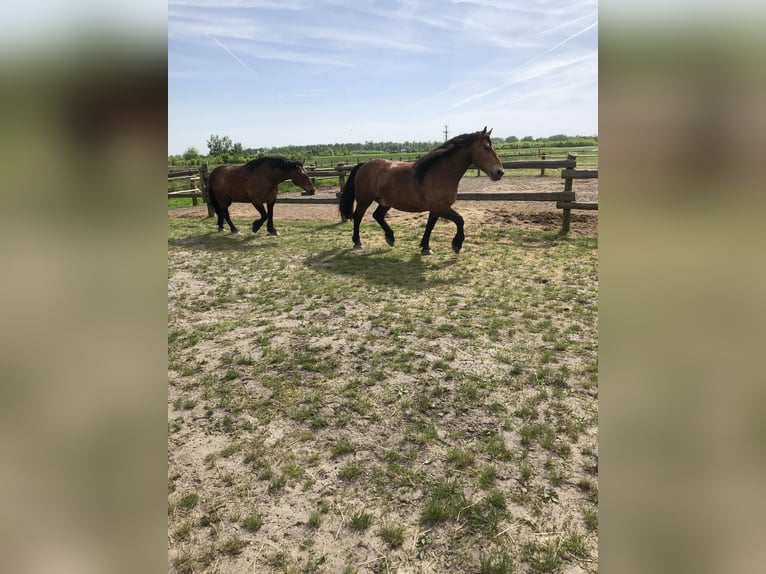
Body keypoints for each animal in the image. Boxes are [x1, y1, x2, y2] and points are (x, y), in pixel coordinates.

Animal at [340, 127, 508, 255]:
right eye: (486, 148)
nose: (499, 172)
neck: (440, 173)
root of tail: (363, 165)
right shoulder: (440, 207)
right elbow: (460, 220)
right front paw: (457, 244)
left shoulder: (437, 208)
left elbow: (430, 226)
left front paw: (425, 247)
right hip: (364, 200)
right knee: (358, 217)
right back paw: (358, 242)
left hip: (386, 202)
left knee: (377, 215)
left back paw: (390, 238)